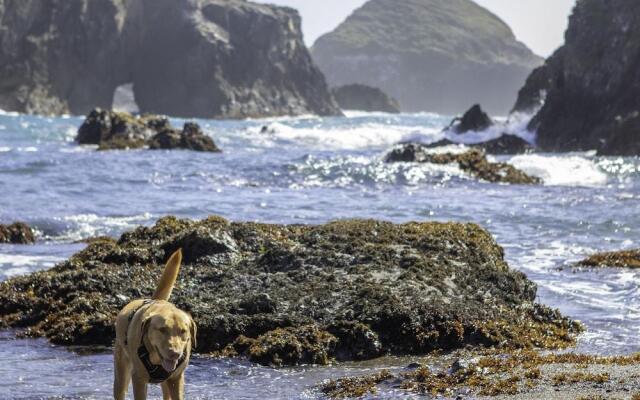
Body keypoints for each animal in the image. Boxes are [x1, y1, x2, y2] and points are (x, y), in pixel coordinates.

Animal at [114, 248, 196, 398]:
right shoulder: (138, 379)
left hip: (166, 383)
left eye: (183, 331)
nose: (175, 354)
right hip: (121, 376)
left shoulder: (176, 378)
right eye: (162, 329)